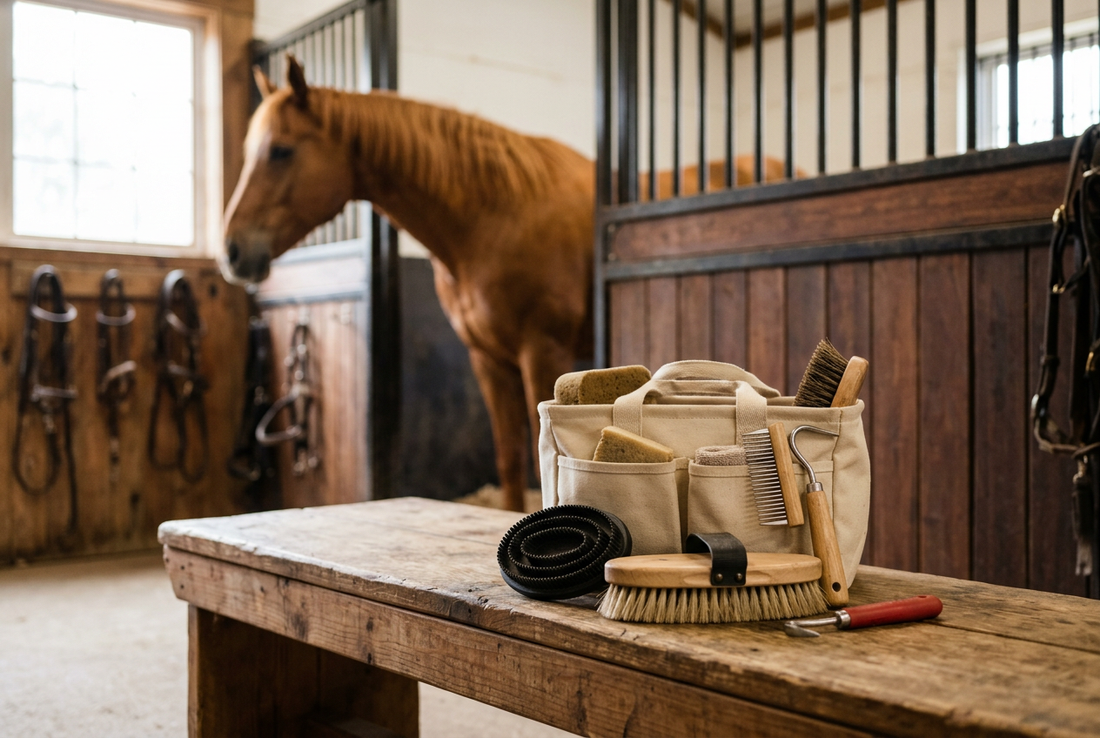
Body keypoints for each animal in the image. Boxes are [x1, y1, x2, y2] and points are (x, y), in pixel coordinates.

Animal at [222, 56, 784, 512]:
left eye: (281, 151)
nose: (231, 250)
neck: (493, 215)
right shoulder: (487, 358)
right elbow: (510, 456)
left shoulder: (542, 350)